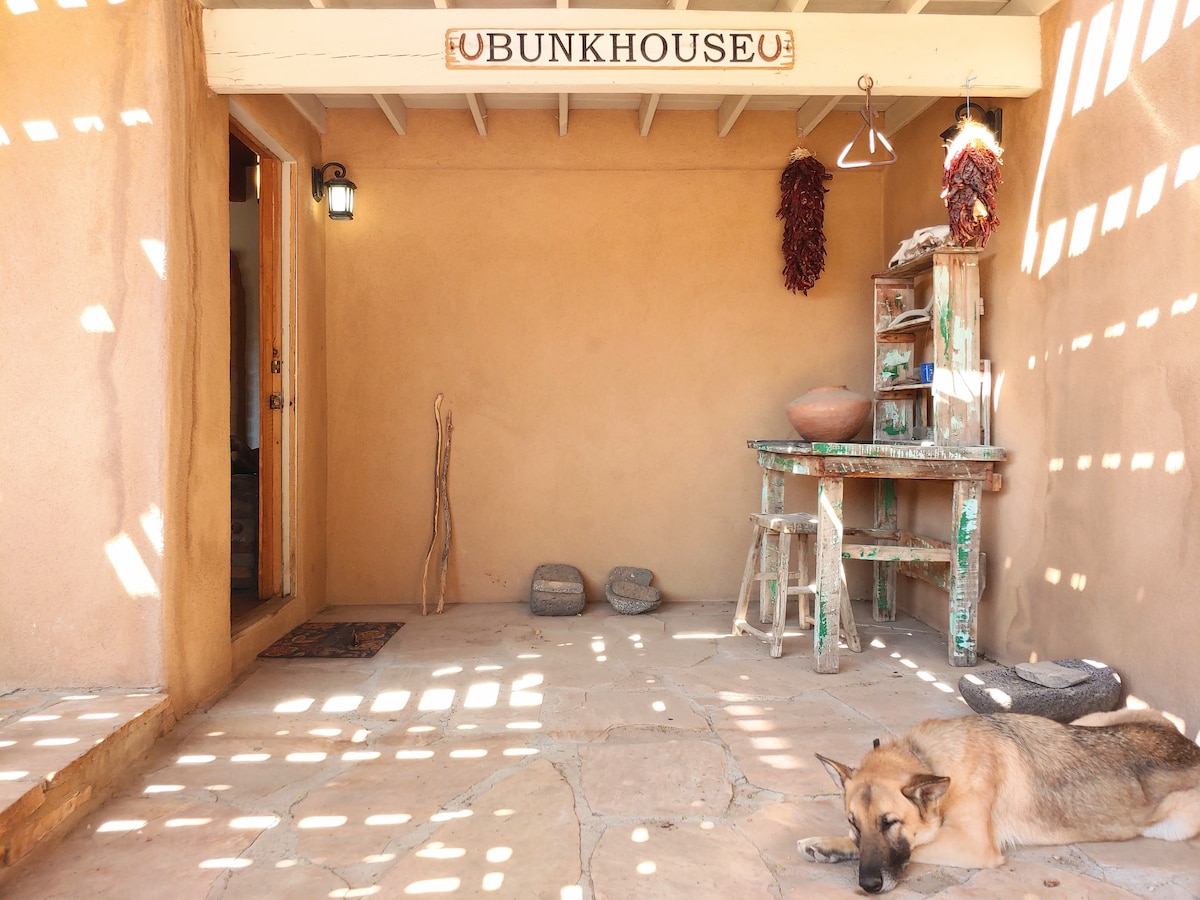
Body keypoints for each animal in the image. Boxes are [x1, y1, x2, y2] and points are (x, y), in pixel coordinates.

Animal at [796, 710, 1200, 897]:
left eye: (889, 823)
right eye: (854, 824)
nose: (867, 885)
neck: (931, 761)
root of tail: (1189, 744)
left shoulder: (973, 845)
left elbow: (919, 846)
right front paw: (828, 844)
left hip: (1179, 822)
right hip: (1086, 721)